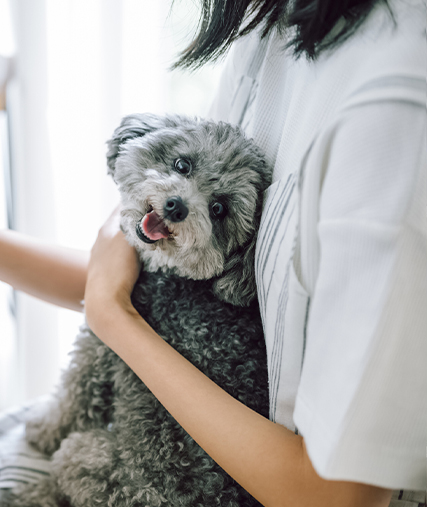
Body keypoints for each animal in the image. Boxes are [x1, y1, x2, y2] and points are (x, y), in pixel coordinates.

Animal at [2, 115, 270, 507]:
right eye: (182, 165)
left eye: (219, 209)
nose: (176, 206)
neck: (180, 280)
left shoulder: (101, 344)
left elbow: (73, 398)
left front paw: (42, 430)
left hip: (92, 461)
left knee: (62, 472)